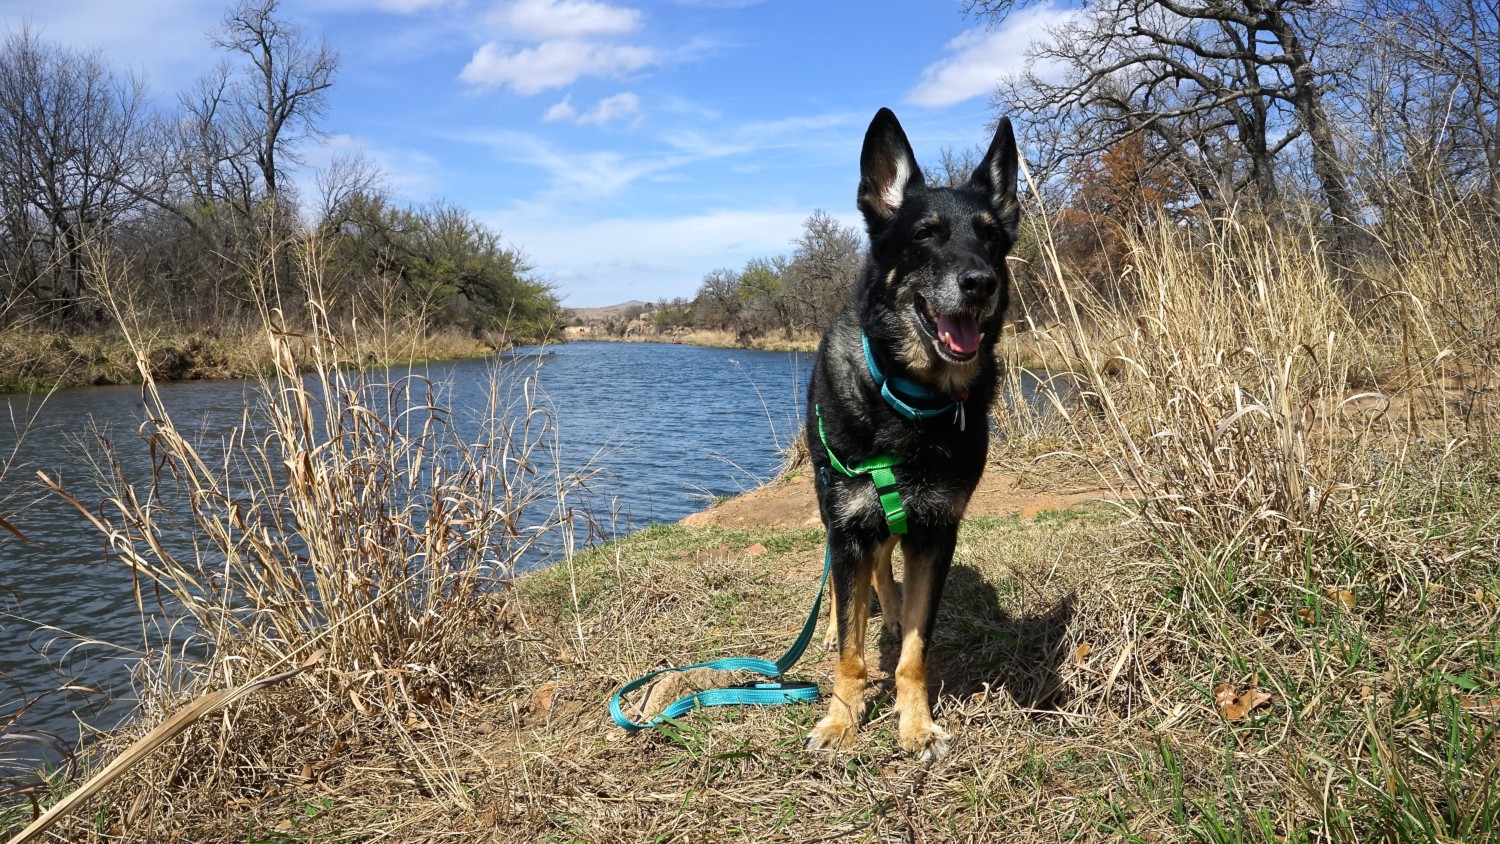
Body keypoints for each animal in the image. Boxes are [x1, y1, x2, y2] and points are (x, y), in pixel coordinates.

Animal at [810, 108, 1020, 761]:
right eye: (926, 233)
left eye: (991, 238)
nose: (980, 282)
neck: (910, 402)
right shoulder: (849, 526)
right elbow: (852, 648)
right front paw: (842, 718)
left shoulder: (935, 533)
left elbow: (914, 653)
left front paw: (916, 722)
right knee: (846, 585)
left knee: (885, 574)